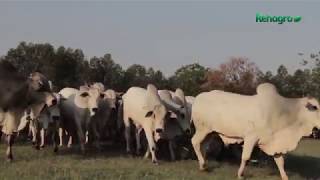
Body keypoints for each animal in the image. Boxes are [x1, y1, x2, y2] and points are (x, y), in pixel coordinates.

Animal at [191, 83, 320, 180]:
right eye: (314, 107)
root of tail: (198, 97)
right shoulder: (250, 138)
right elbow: (246, 157)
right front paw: (240, 175)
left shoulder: (274, 143)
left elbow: (280, 162)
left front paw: (285, 177)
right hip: (203, 129)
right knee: (195, 142)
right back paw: (203, 164)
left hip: (210, 132)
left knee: (202, 145)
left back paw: (202, 165)